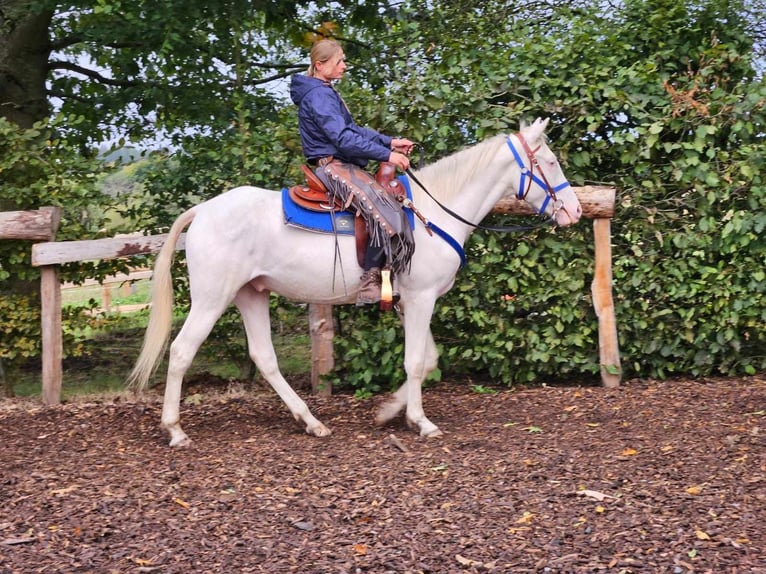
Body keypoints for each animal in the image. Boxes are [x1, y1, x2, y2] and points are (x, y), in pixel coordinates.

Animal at [129, 118, 584, 450]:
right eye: (551, 162)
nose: (575, 210)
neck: (434, 214)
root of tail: (203, 211)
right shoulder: (421, 300)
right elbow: (415, 361)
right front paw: (421, 422)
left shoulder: (408, 303)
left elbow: (427, 359)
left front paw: (388, 411)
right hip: (212, 298)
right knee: (182, 352)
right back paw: (175, 430)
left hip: (250, 295)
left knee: (265, 358)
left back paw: (311, 422)